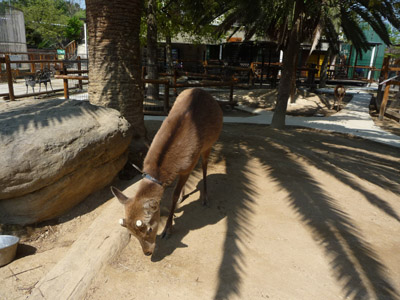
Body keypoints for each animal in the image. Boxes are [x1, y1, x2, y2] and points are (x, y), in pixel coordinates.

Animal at [111, 88, 223, 256]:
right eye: (131, 233)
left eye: (150, 228)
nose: (147, 252)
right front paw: (178, 206)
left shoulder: (188, 165)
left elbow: (173, 195)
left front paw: (167, 230)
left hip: (209, 144)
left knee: (204, 167)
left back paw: (205, 198)